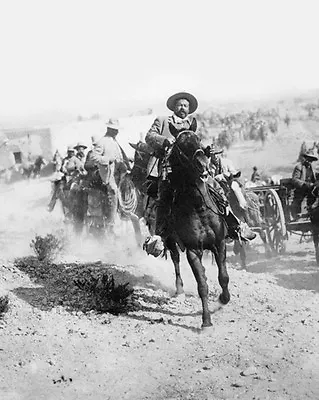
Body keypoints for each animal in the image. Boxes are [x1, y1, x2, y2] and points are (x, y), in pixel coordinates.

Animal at [165, 131, 230, 328]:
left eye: (198, 139)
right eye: (181, 146)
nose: (202, 163)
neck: (199, 207)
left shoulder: (220, 243)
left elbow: (223, 277)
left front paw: (224, 298)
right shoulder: (193, 250)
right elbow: (202, 285)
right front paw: (206, 321)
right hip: (171, 241)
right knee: (176, 260)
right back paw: (179, 290)